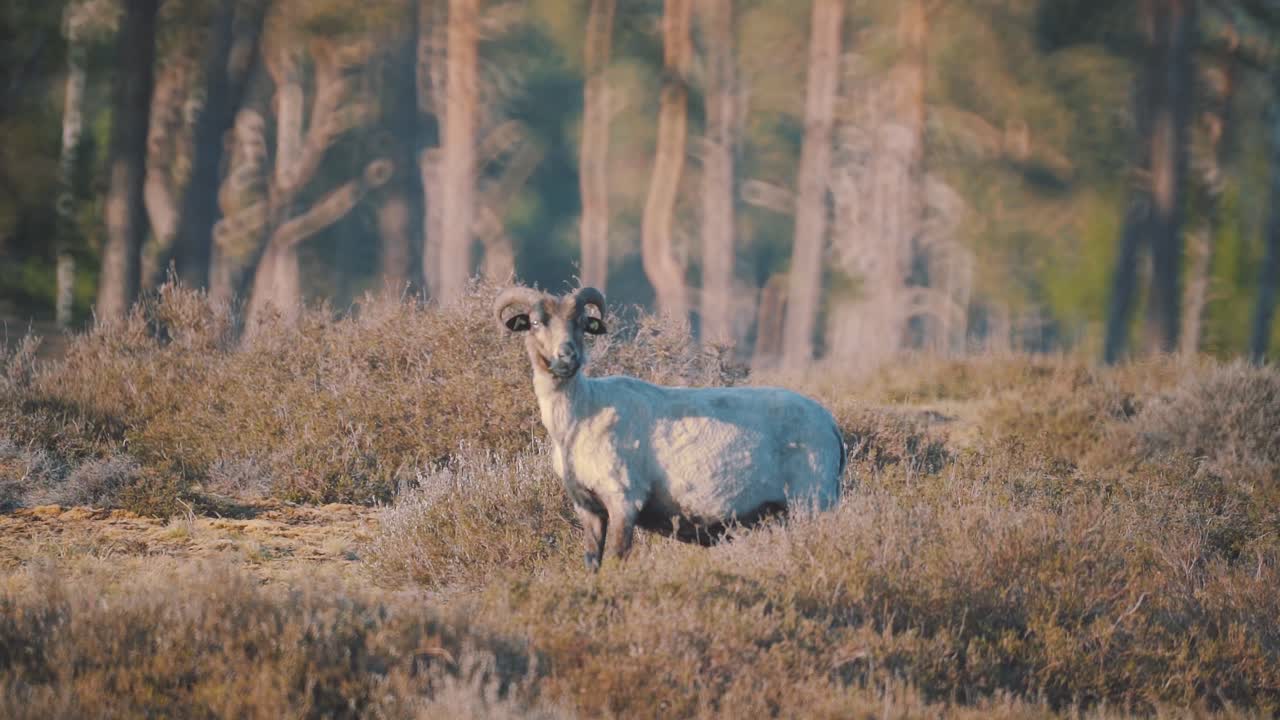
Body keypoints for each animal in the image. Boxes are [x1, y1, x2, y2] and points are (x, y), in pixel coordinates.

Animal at [495, 286, 846, 569]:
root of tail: (830, 424)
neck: (583, 413)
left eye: (582, 323)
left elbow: (615, 563)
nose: (568, 357)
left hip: (812, 499)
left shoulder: (624, 499)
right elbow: (592, 563)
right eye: (536, 323)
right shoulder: (588, 507)